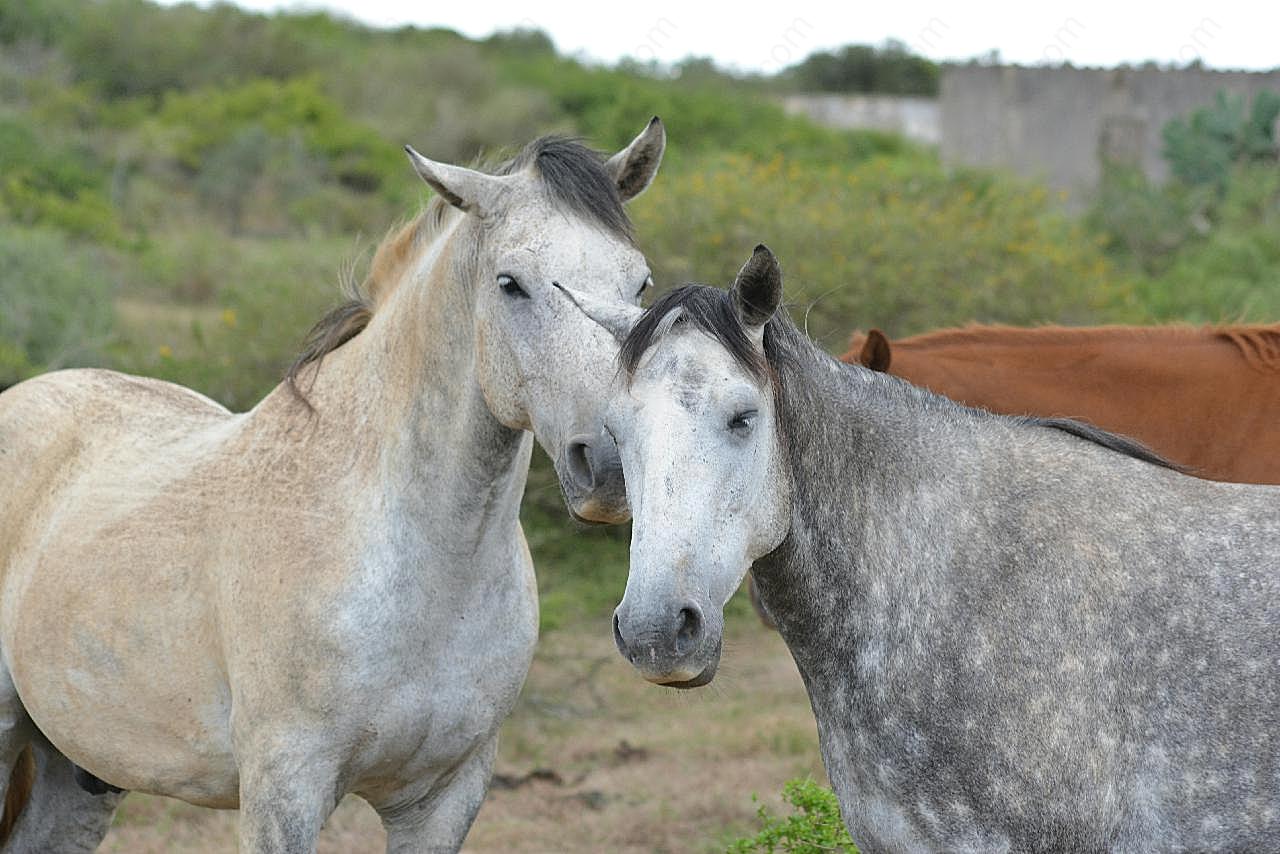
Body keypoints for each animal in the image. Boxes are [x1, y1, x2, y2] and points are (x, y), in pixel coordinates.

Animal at [0, 120, 670, 854]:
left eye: (640, 283)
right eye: (510, 284)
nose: (609, 463)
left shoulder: (444, 798)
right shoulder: (285, 790)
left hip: (78, 771)